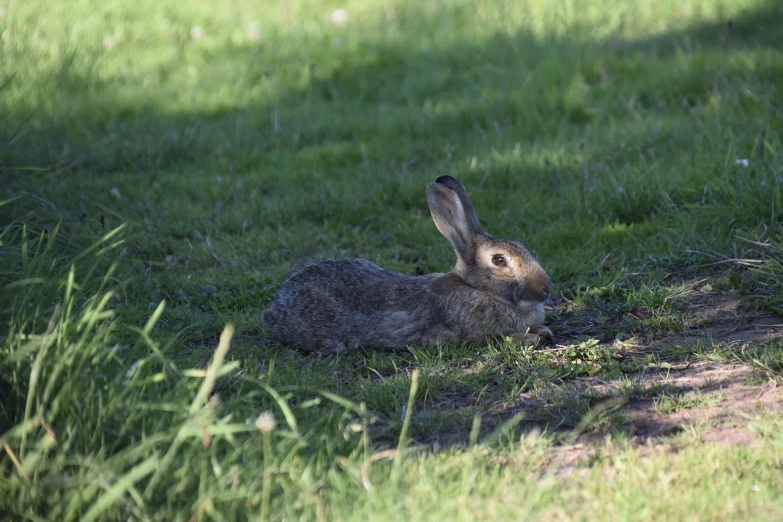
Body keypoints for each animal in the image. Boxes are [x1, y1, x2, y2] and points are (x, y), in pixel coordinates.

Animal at [266, 174, 556, 350]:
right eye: (499, 260)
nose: (546, 288)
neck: (477, 288)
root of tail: (280, 299)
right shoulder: (468, 334)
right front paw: (533, 337)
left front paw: (542, 330)